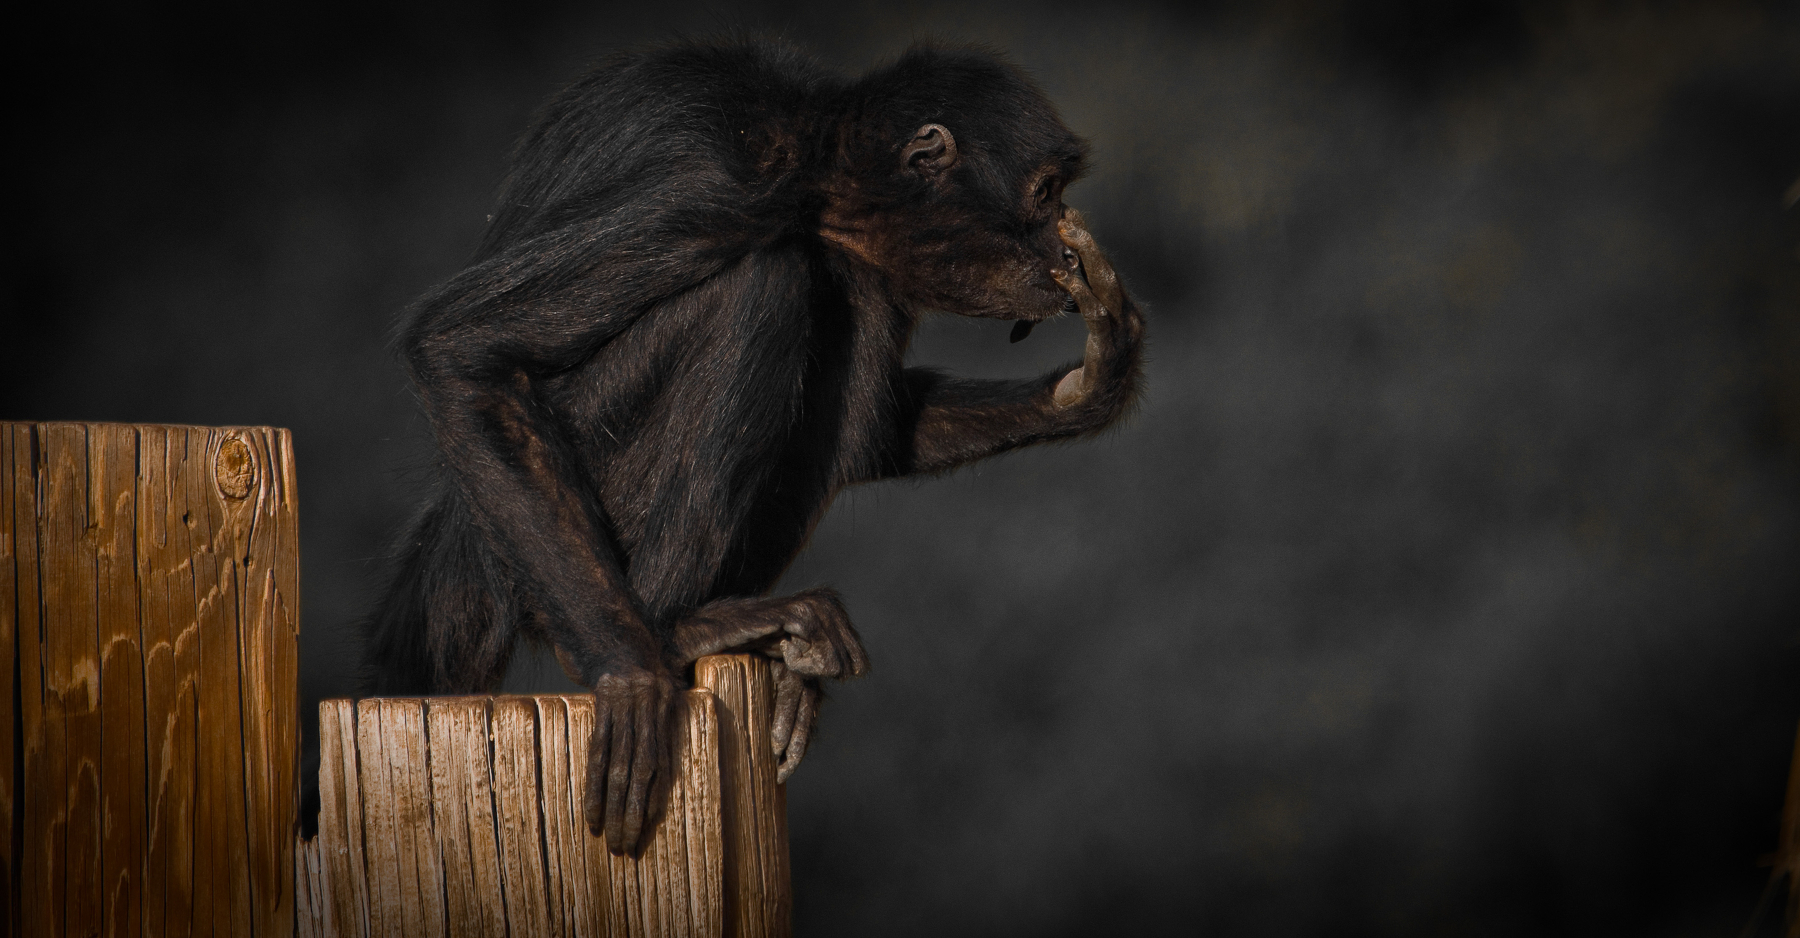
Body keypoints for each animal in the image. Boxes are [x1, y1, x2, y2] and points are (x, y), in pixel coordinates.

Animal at [365, 37, 1145, 856]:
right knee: (768, 281)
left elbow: (881, 432)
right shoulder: (714, 188)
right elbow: (460, 346)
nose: (1064, 239)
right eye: (1045, 192)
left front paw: (1088, 387)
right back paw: (675, 627)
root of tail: (452, 547)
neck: (814, 164)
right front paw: (632, 678)